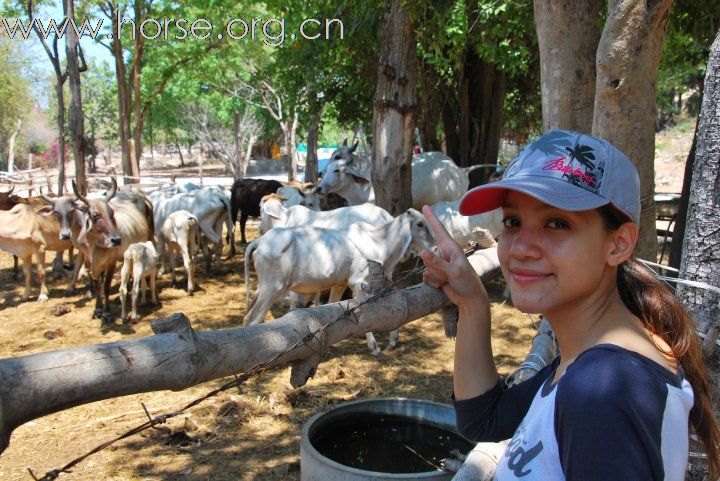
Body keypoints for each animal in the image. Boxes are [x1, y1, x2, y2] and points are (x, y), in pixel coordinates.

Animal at [243, 208, 434, 354]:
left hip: (265, 289)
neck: (379, 242)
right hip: (273, 289)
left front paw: (393, 340)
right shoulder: (358, 283)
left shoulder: (341, 284)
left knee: (247, 318)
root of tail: (261, 241)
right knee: (253, 321)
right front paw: (374, 347)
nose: (434, 248)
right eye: (420, 224)